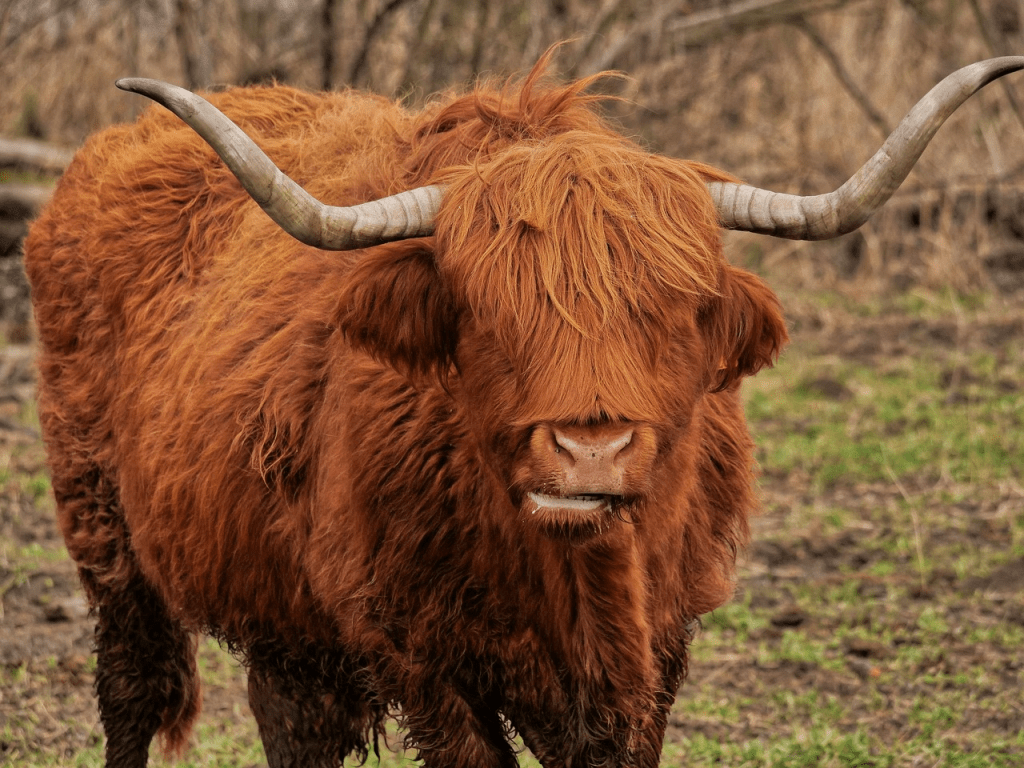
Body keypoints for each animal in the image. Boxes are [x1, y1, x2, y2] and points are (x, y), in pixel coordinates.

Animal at [23, 52, 1024, 768]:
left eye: (677, 309)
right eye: (490, 314)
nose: (591, 450)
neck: (568, 577)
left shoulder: (652, 658)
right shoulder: (422, 658)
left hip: (282, 614)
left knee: (291, 726)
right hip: (103, 530)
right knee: (134, 692)